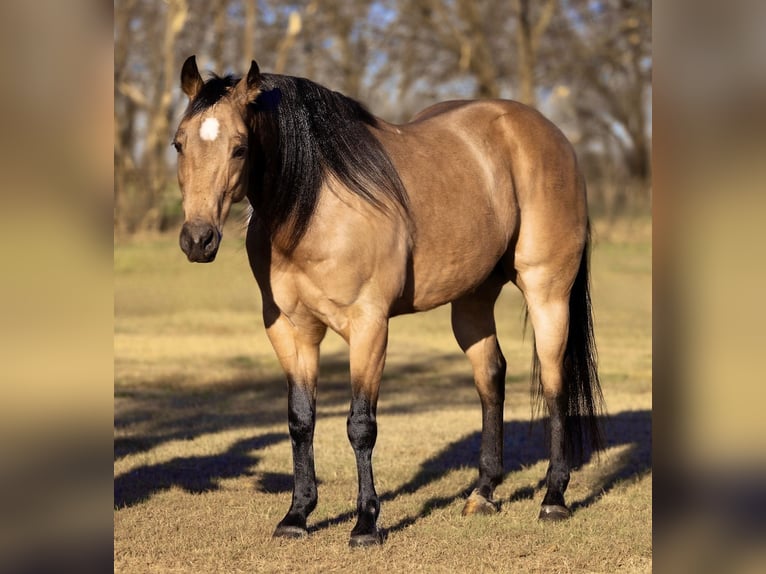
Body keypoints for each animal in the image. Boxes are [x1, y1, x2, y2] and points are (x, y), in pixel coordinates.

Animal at [173, 55, 604, 547]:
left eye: (240, 148)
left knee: (553, 383)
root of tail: (552, 136)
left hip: (547, 294)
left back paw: (554, 497)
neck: (315, 207)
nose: (198, 239)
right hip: (473, 301)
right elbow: (301, 420)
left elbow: (360, 425)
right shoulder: (290, 330)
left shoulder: (369, 327)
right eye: (179, 144)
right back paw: (483, 493)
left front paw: (365, 524)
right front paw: (297, 515)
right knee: (491, 378)